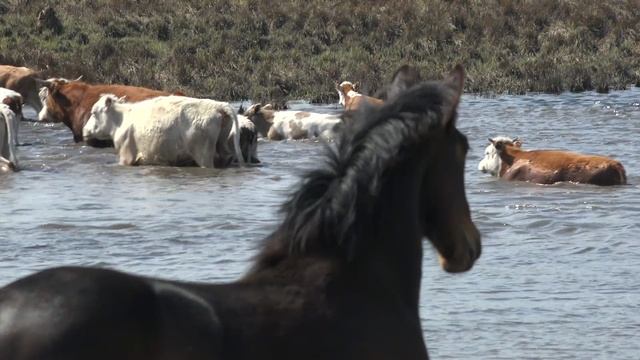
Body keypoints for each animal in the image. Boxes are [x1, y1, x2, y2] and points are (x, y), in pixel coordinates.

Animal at [84, 95, 244, 169]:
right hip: (221, 144)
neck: (122, 119)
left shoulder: (126, 155)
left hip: (203, 153)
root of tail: (218, 106)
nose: (84, 129)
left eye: (93, 113)